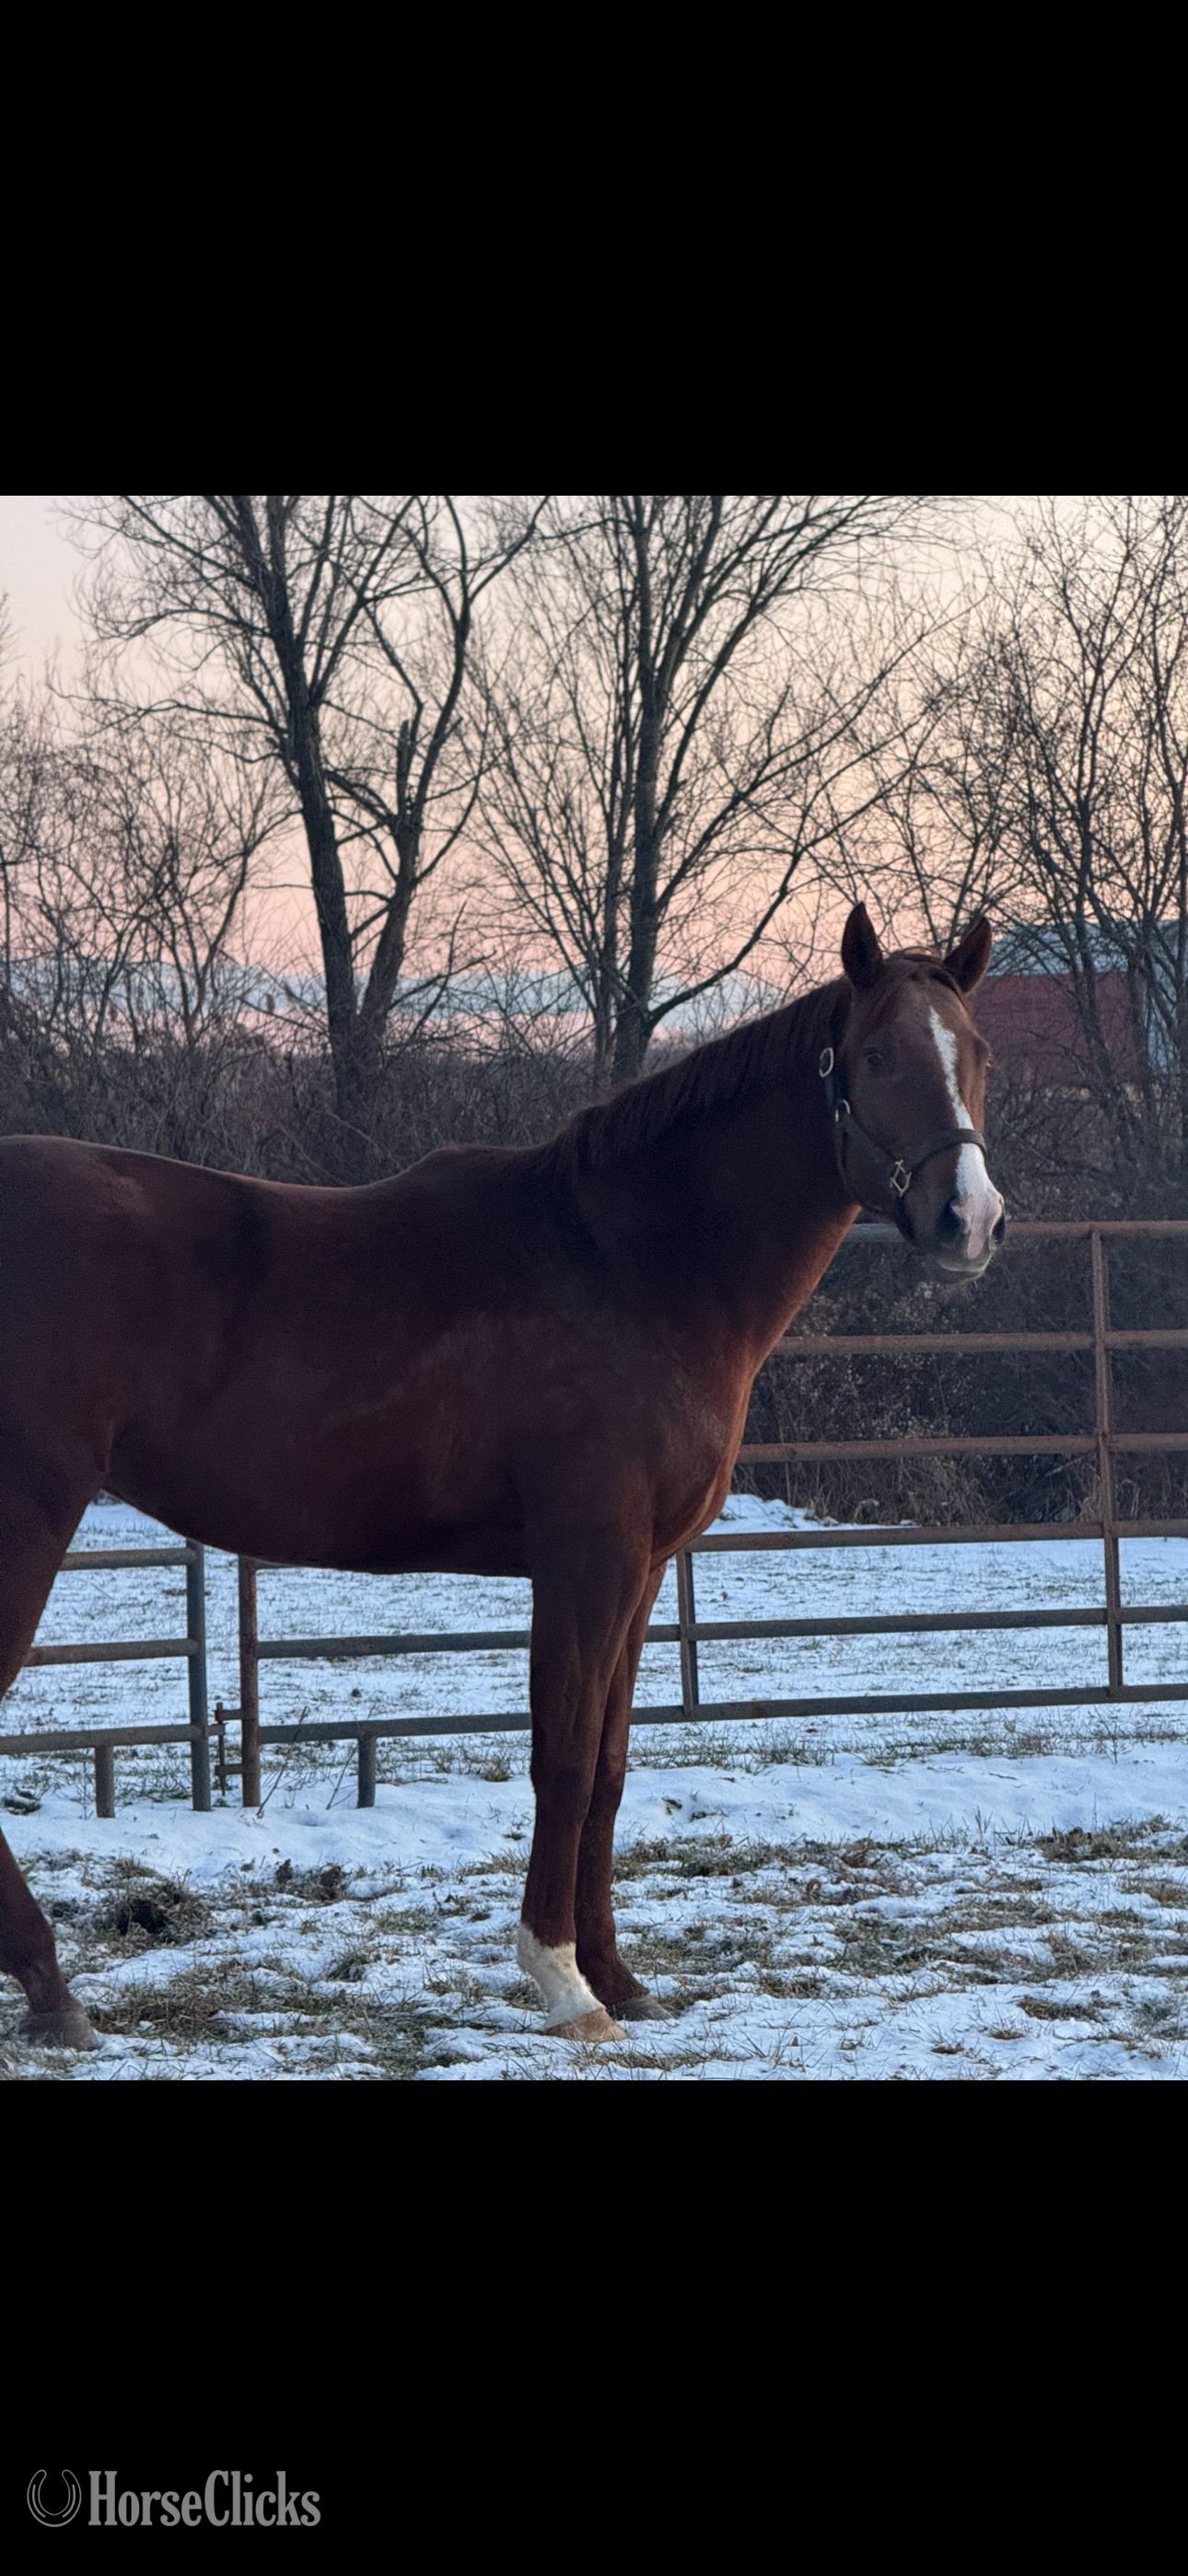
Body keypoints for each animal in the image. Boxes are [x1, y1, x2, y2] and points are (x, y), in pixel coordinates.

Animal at [0, 904, 1004, 2050]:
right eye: (878, 1056)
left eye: (976, 1053)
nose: (969, 1220)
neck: (631, 1263)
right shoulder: (585, 1560)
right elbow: (561, 1760)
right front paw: (563, 1982)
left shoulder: (640, 1573)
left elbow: (608, 1769)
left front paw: (619, 1977)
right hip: (28, 1519)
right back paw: (55, 1993)